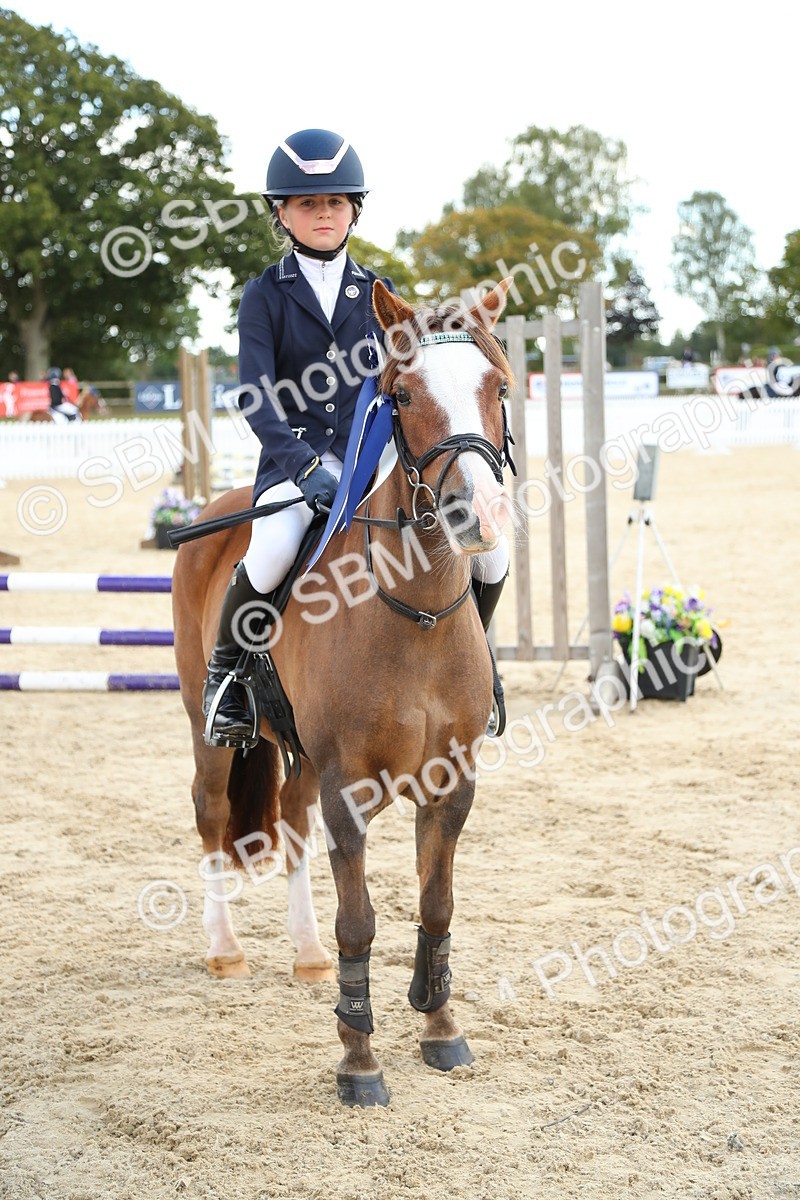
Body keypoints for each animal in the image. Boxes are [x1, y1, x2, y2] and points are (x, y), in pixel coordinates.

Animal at [171, 278, 515, 1107]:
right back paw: (225, 949)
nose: (477, 516)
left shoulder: (451, 783)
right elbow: (358, 921)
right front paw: (359, 1062)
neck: (415, 610)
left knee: (289, 822)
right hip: (205, 726)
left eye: (497, 387)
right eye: (404, 395)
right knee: (212, 814)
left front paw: (440, 1027)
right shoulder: (347, 788)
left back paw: (304, 955)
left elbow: (436, 904)